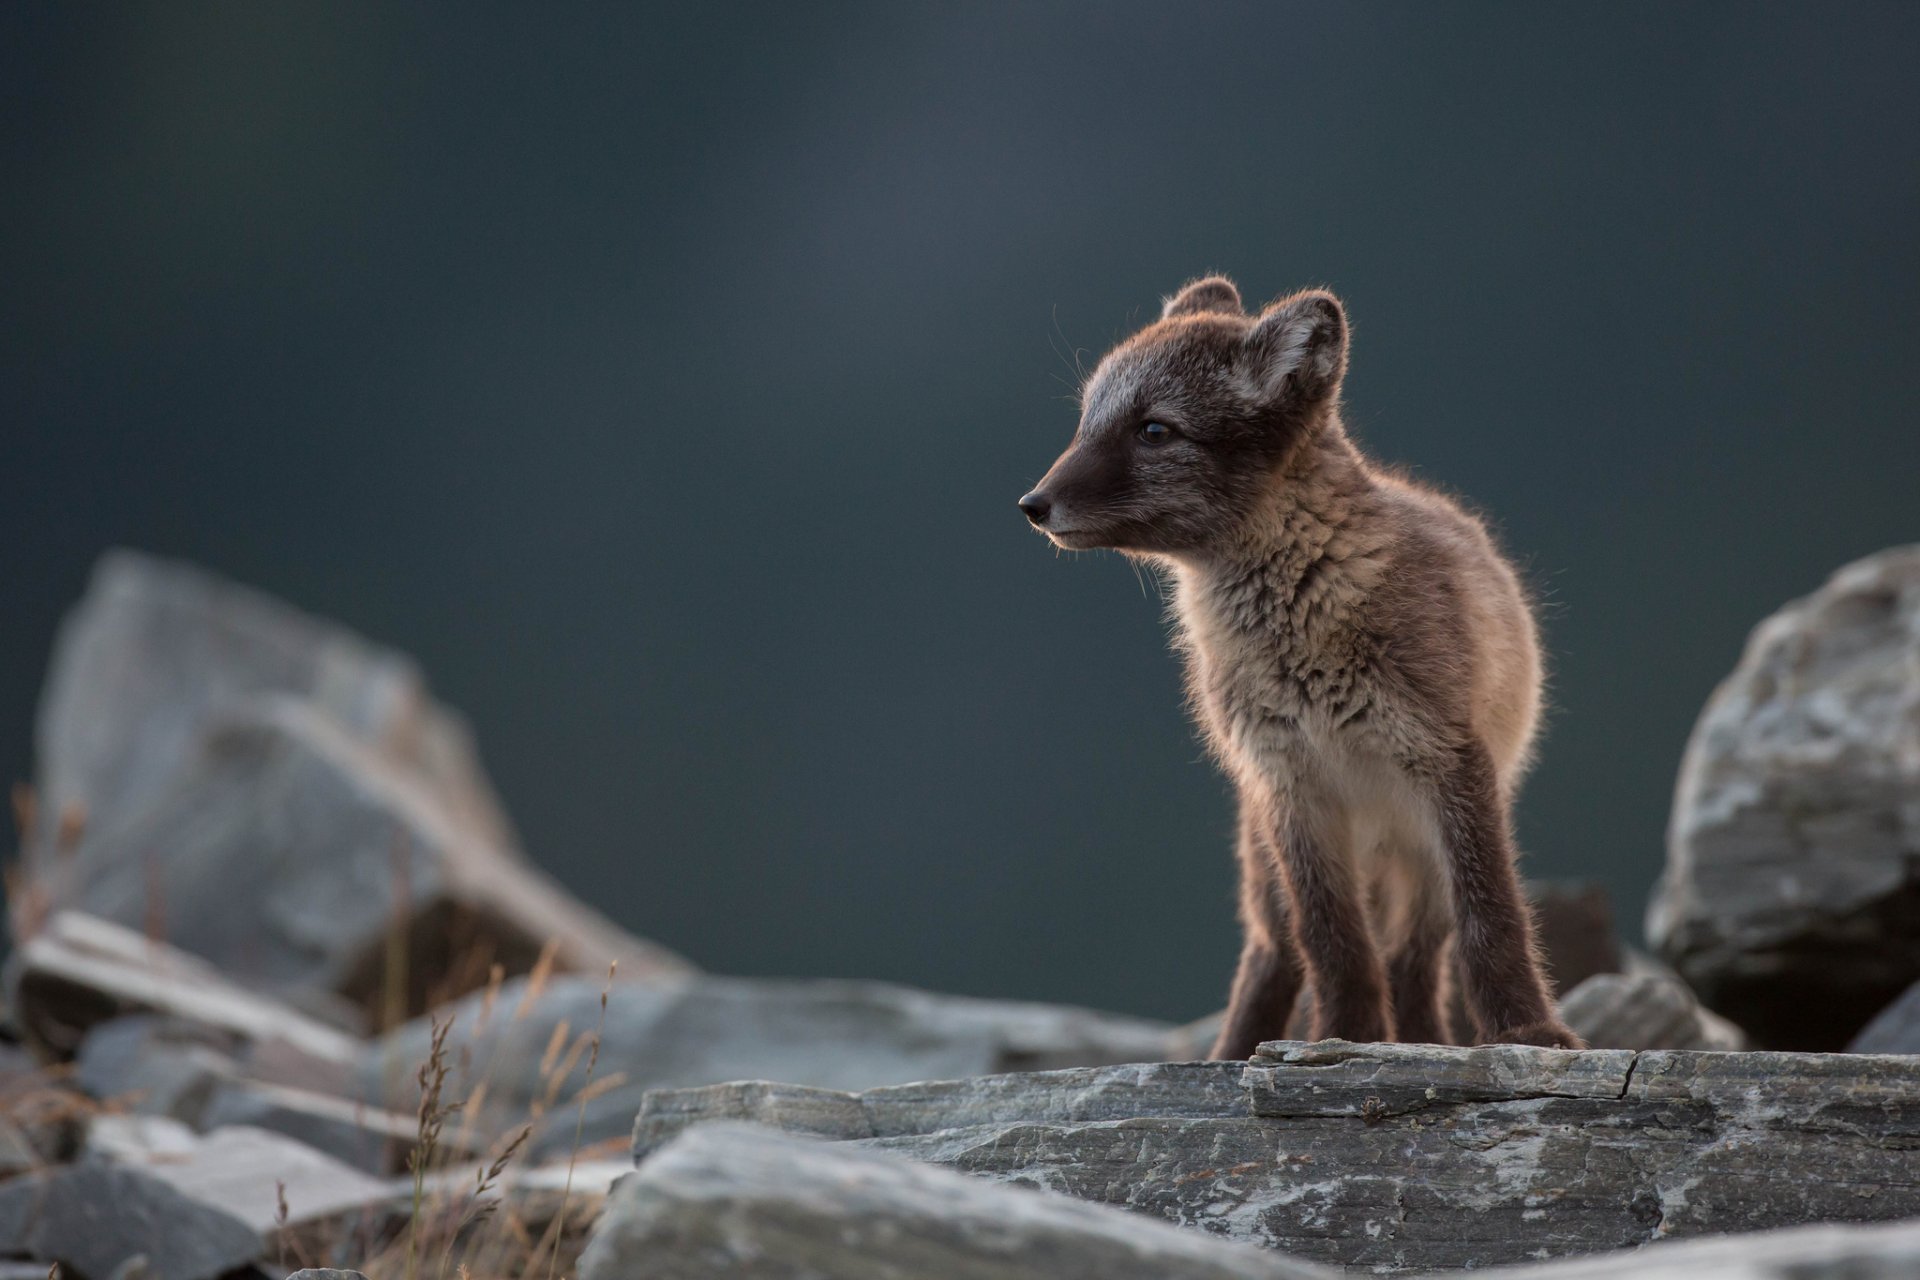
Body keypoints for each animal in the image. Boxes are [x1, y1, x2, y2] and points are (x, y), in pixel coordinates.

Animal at [1018, 276, 1581, 1057]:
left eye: (1155, 431)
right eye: (1086, 422)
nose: (1032, 505)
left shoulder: (1447, 763)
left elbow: (1491, 919)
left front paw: (1526, 1031)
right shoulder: (1289, 784)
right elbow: (1333, 944)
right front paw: (1345, 1036)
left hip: (1419, 859)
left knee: (1413, 961)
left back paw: (1422, 1038)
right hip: (1268, 863)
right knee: (1275, 955)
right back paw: (1232, 1055)